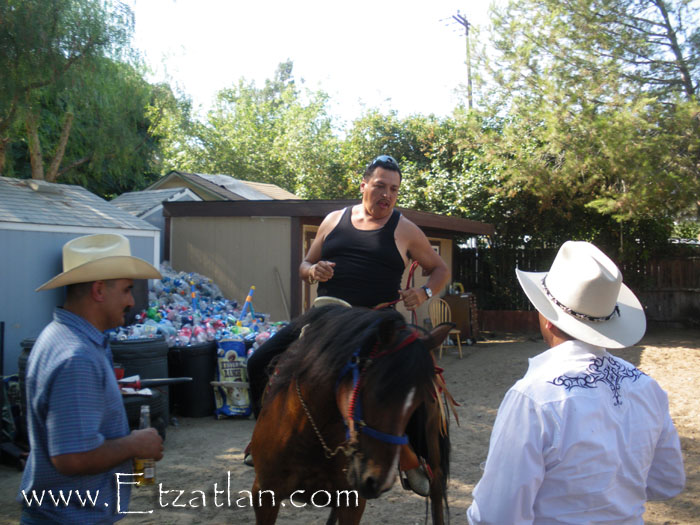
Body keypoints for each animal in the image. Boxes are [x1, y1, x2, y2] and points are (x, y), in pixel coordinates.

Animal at [250, 305, 454, 524]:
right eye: (378, 390)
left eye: (420, 399)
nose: (377, 481)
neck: (310, 433)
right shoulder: (264, 494)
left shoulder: (352, 502)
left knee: (436, 486)